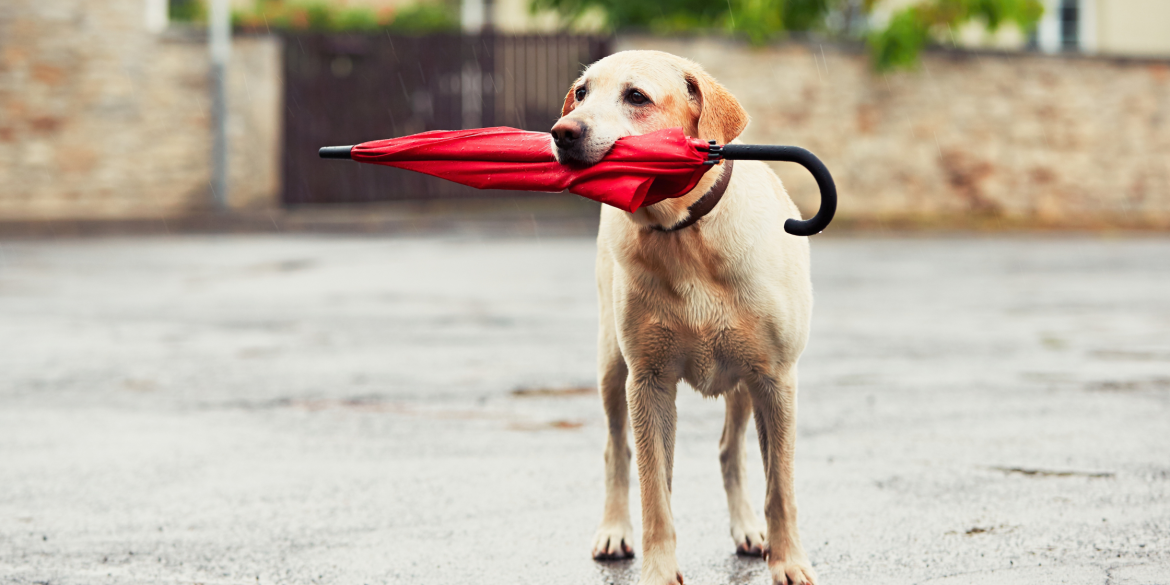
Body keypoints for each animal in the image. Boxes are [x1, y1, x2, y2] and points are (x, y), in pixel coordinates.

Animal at [549, 51, 814, 585]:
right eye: (581, 93)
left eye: (636, 96)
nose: (562, 132)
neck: (685, 234)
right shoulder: (648, 382)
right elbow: (655, 492)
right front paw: (658, 568)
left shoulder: (776, 379)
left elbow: (781, 486)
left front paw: (789, 561)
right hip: (612, 365)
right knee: (617, 450)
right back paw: (614, 529)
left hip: (744, 383)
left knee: (730, 449)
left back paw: (748, 528)